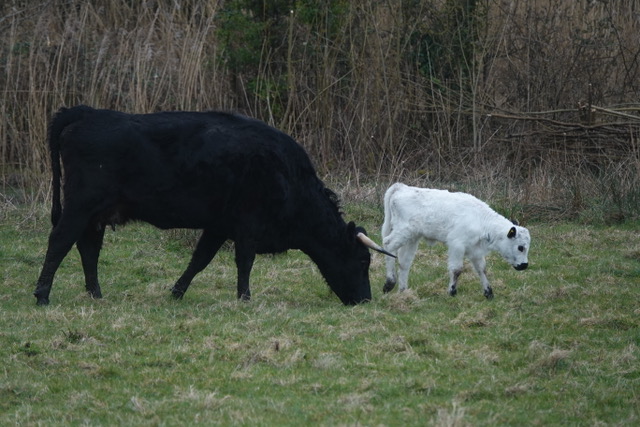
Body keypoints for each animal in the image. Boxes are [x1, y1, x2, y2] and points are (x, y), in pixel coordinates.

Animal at [35, 107, 396, 308]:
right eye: (363, 261)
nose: (365, 300)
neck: (288, 177)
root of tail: (87, 111)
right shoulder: (248, 224)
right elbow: (244, 261)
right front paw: (245, 299)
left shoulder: (219, 225)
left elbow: (200, 260)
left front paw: (176, 293)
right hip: (80, 205)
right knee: (60, 241)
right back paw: (42, 295)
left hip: (96, 214)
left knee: (88, 248)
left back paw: (95, 294)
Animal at [380, 184, 528, 300]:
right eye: (520, 247)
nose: (524, 265)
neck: (480, 220)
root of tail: (402, 187)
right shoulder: (457, 245)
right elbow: (457, 269)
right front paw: (452, 292)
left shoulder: (475, 251)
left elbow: (482, 269)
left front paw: (489, 292)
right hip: (403, 232)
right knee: (388, 244)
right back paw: (389, 283)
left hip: (412, 238)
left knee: (404, 262)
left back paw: (403, 291)